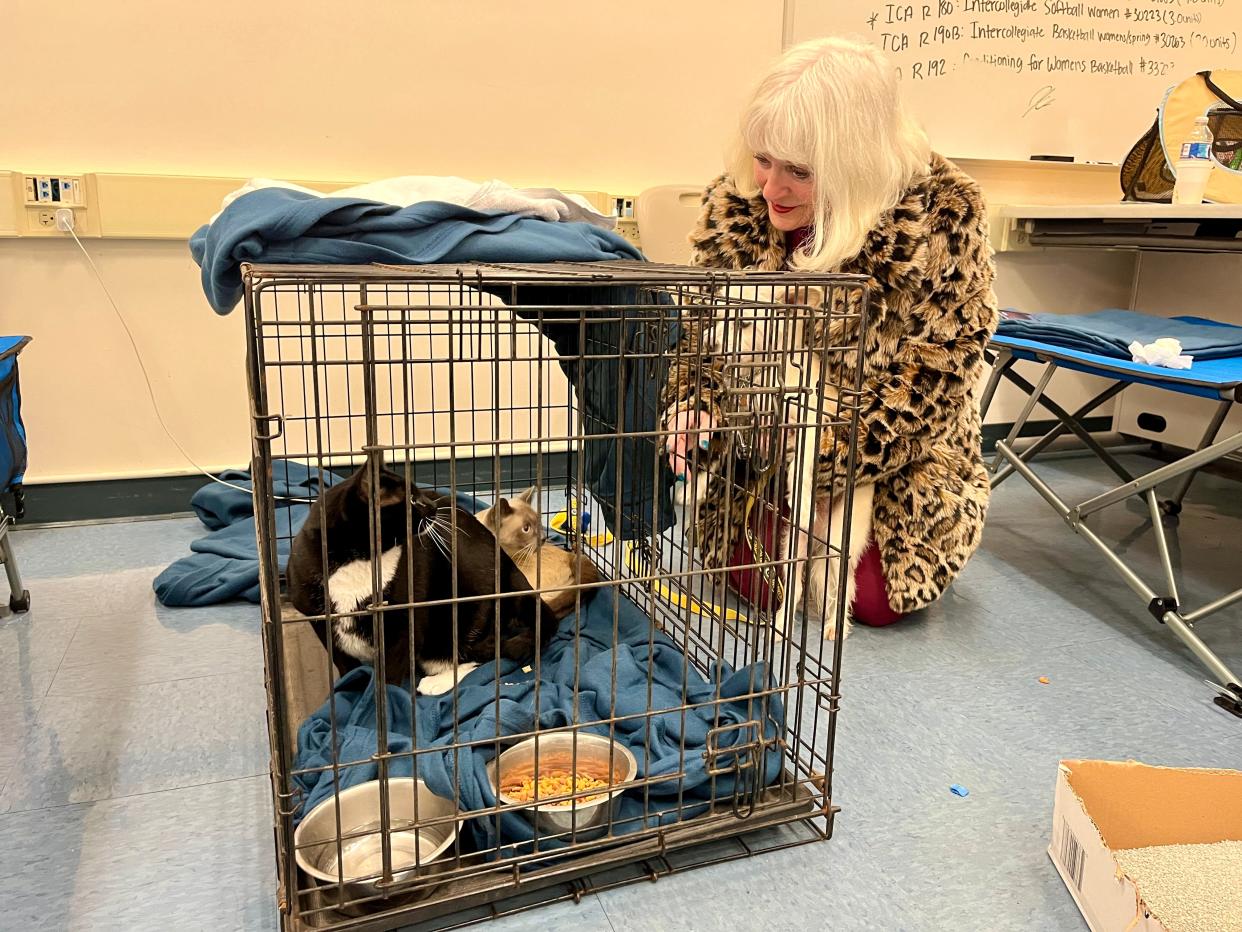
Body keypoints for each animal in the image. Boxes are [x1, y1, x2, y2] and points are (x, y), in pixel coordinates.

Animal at [285, 467, 558, 695]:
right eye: (411, 499)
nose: (433, 506)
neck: (360, 559)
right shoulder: (318, 618)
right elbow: (344, 664)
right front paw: (350, 686)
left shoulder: (406, 617)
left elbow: (391, 673)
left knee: (488, 647)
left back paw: (436, 681)